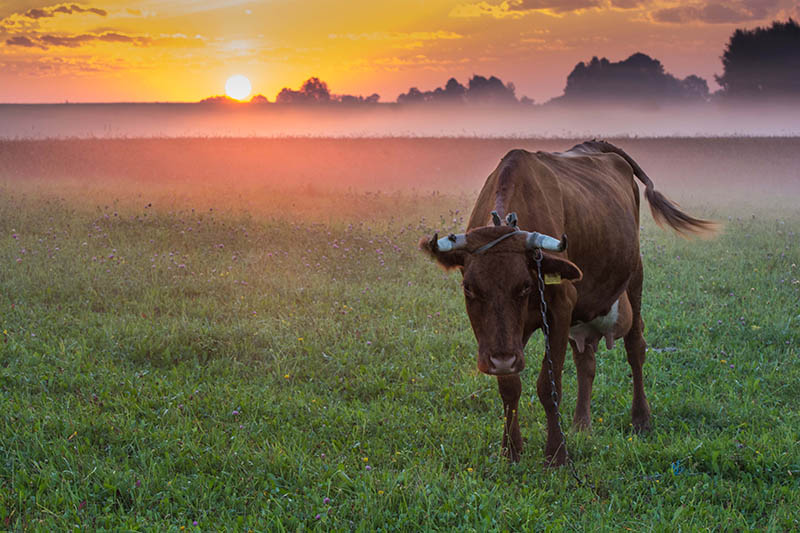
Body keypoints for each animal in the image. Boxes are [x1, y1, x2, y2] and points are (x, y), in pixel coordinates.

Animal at [416, 139, 716, 464]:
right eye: (469, 289)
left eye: (524, 286)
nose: (502, 360)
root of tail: (597, 146)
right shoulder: (503, 338)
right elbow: (509, 386)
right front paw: (511, 449)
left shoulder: (559, 310)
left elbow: (549, 386)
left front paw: (556, 454)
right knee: (586, 361)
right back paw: (581, 425)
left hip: (635, 276)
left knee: (635, 348)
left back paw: (641, 419)